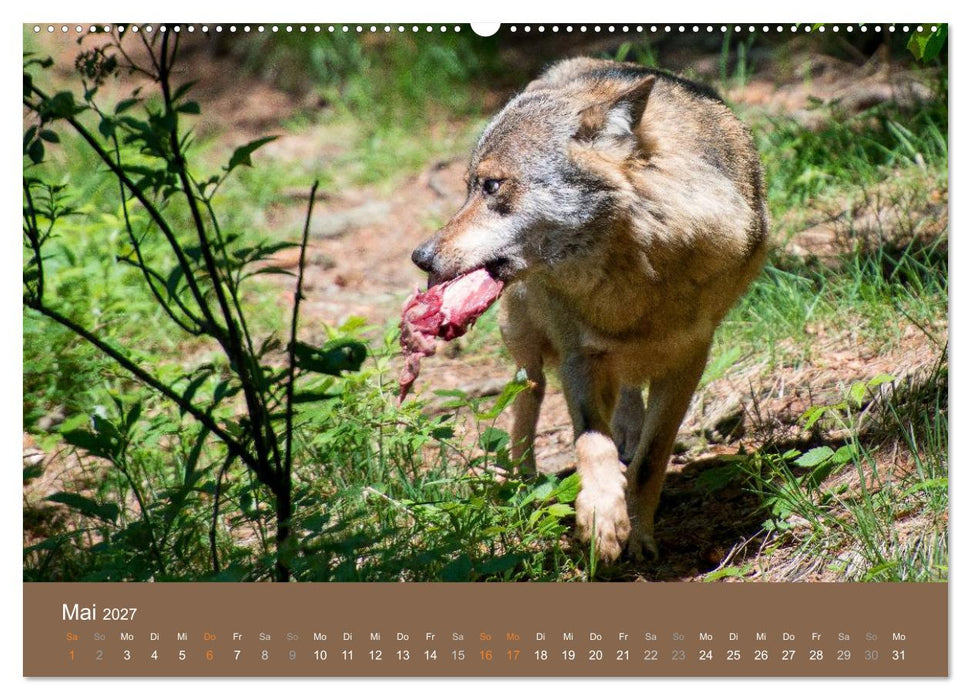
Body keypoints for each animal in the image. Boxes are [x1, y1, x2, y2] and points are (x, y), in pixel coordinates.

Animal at [411, 57, 768, 563]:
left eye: (492, 185)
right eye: (466, 189)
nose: (420, 257)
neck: (634, 274)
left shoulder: (688, 360)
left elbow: (650, 459)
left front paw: (638, 534)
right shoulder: (579, 355)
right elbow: (589, 440)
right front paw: (601, 516)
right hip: (525, 343)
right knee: (528, 395)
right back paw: (523, 482)